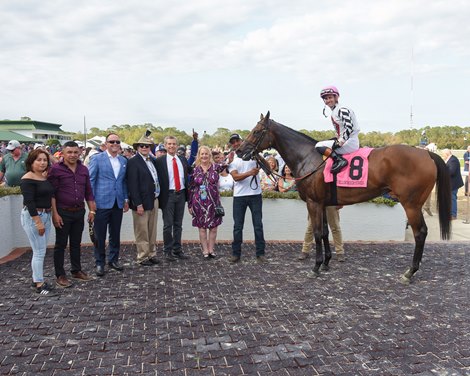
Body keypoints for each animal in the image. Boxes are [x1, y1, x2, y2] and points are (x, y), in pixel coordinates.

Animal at [239, 111, 452, 282]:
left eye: (257, 131)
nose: (240, 150)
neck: (308, 158)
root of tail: (426, 154)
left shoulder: (313, 203)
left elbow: (317, 233)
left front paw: (316, 267)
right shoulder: (324, 203)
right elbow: (325, 232)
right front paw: (326, 263)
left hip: (411, 204)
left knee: (420, 233)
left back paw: (410, 272)